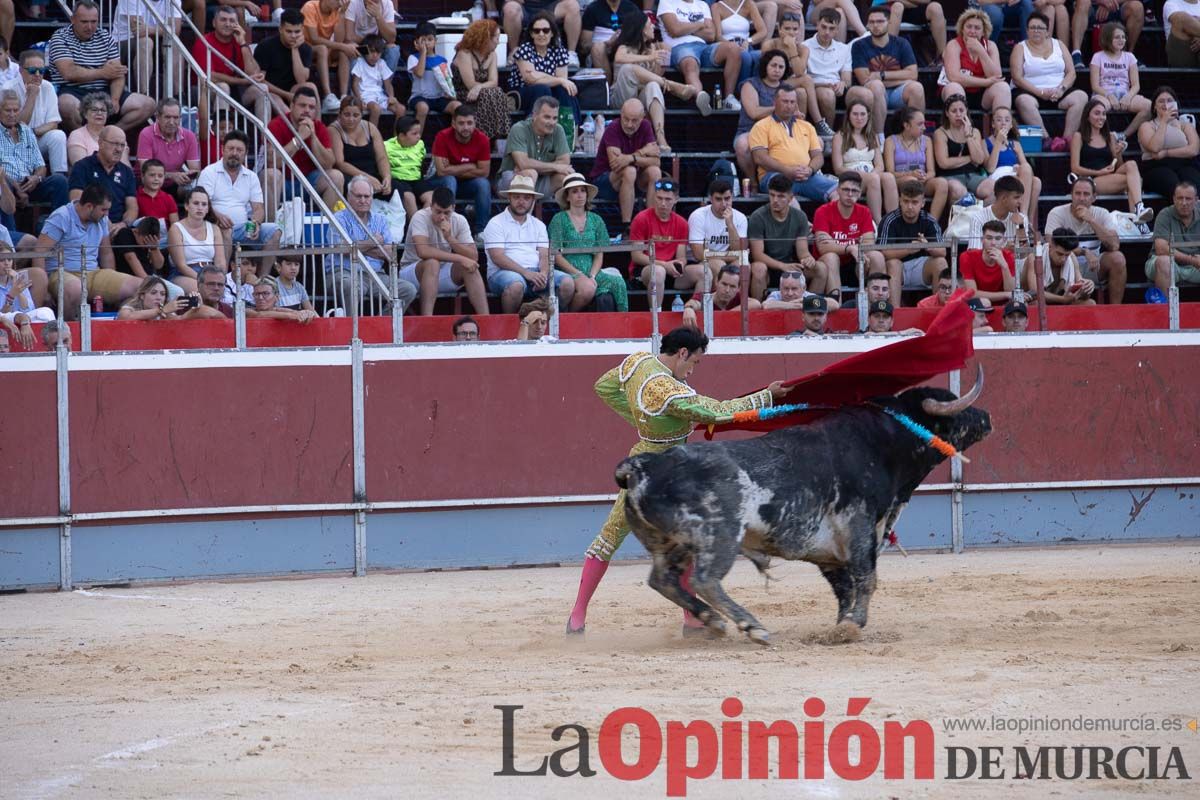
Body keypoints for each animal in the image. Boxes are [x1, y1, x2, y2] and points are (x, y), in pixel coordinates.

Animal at [614, 371, 988, 647]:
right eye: (954, 406)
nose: (985, 416)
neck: (883, 442)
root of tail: (642, 466)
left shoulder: (829, 549)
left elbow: (844, 588)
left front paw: (840, 628)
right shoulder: (859, 524)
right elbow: (866, 578)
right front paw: (853, 625)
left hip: (672, 544)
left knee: (663, 580)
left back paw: (714, 621)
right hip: (719, 536)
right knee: (705, 580)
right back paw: (752, 627)